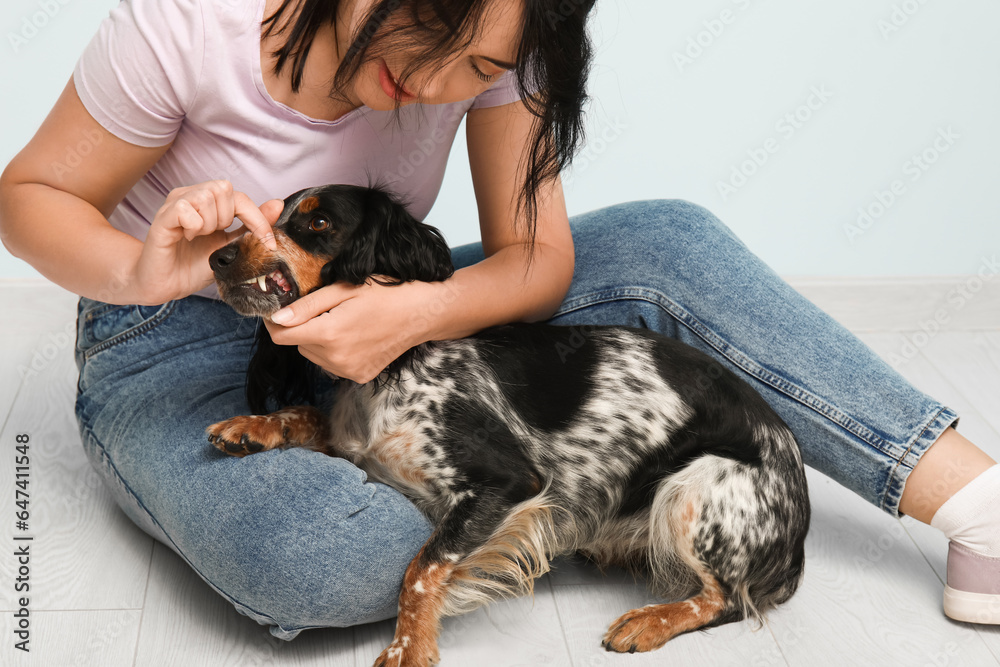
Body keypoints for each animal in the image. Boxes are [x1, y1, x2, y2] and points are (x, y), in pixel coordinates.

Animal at [207, 184, 808, 667]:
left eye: (318, 223)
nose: (216, 254)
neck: (389, 371)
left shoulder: (507, 482)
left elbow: (419, 570)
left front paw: (407, 649)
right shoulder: (354, 440)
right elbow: (310, 415)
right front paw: (251, 425)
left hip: (695, 489)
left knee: (728, 598)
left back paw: (647, 621)